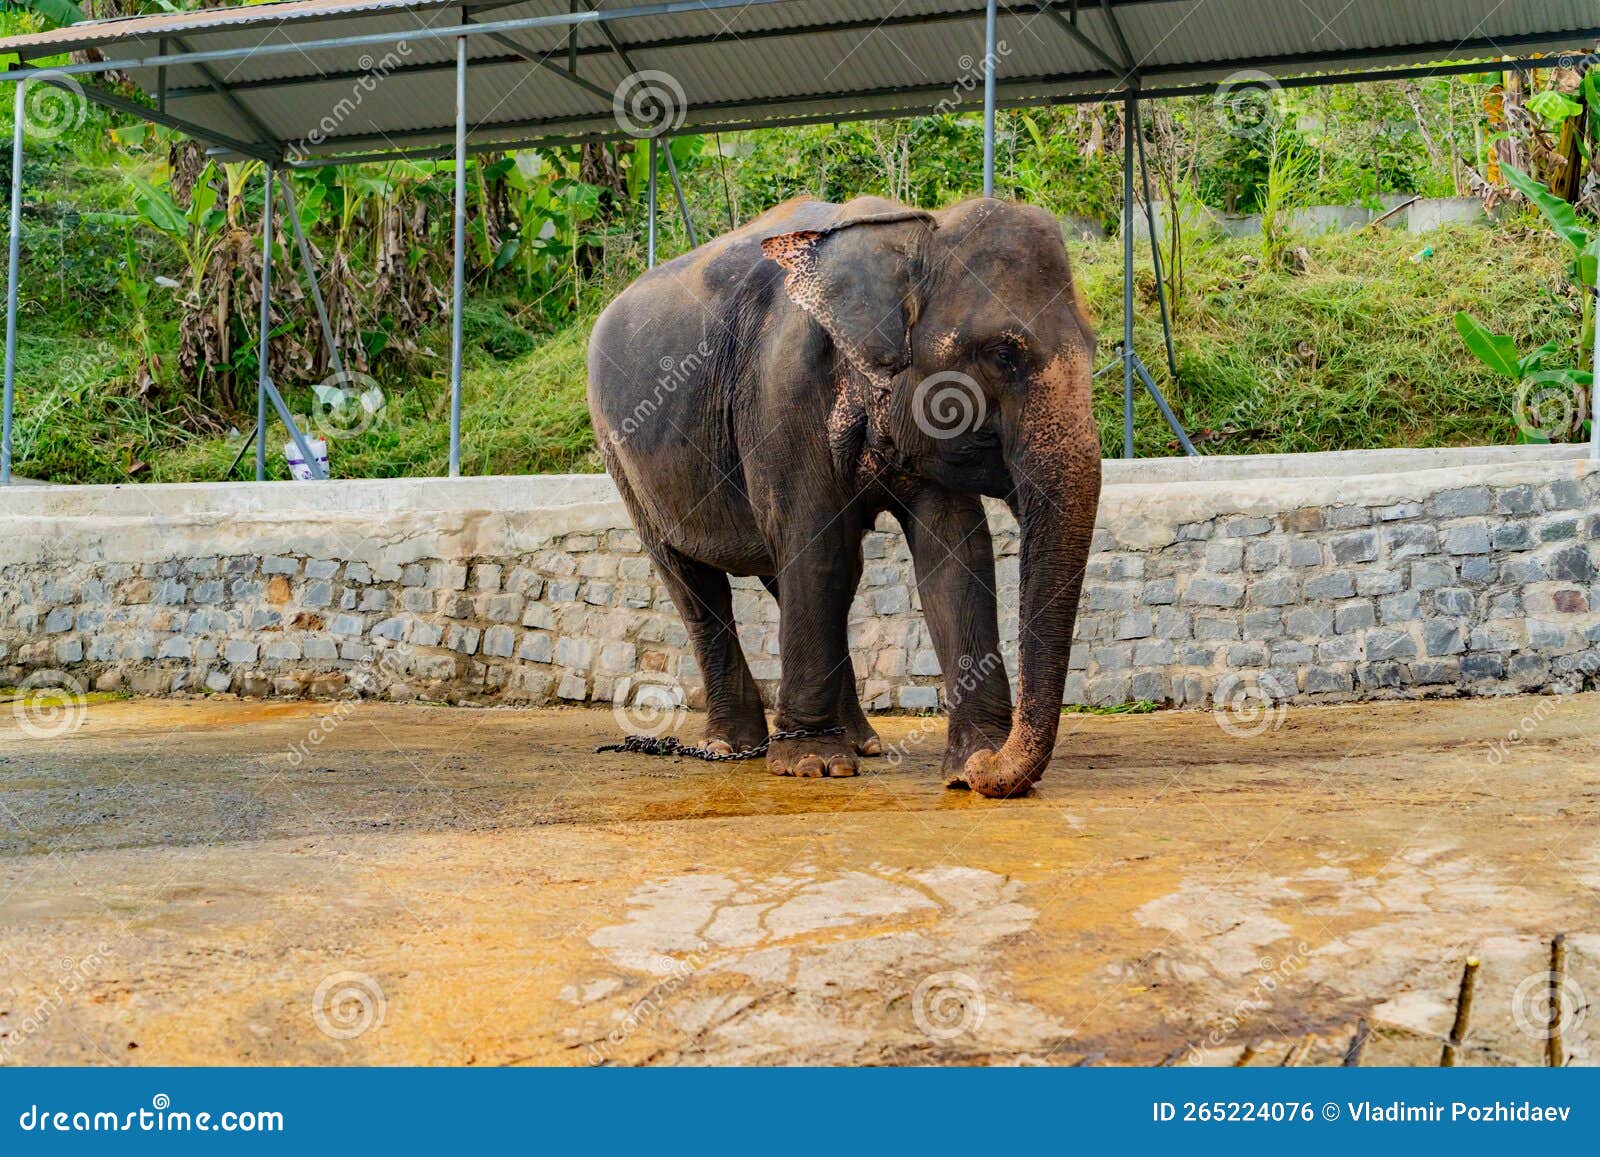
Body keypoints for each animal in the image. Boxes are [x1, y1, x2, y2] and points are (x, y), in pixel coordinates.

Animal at [587, 195, 1101, 798]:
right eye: (1003, 353)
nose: (987, 771)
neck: (913, 233)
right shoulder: (782, 393)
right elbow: (817, 549)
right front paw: (810, 765)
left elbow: (954, 557)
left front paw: (970, 763)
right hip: (622, 459)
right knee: (694, 581)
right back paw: (734, 746)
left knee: (801, 574)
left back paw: (861, 742)